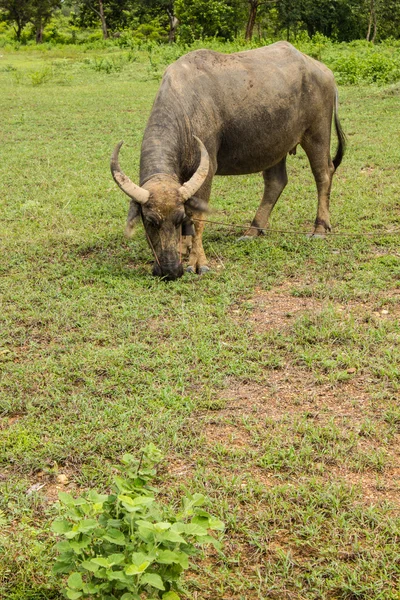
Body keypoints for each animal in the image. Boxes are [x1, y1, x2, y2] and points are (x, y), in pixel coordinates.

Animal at [111, 42, 346, 282]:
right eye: (150, 221)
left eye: (177, 219)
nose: (170, 270)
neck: (184, 108)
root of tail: (324, 70)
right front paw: (185, 247)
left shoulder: (206, 169)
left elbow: (198, 217)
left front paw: (197, 262)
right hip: (275, 145)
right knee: (276, 182)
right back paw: (253, 230)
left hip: (316, 134)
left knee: (323, 173)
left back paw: (319, 228)